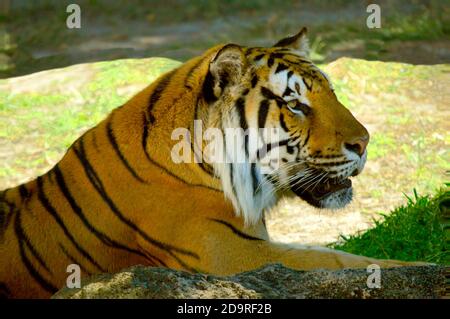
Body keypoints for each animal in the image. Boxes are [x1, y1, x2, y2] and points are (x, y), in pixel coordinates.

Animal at [0, 28, 424, 300]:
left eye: (331, 94)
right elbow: (344, 261)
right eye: (295, 105)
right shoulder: (236, 256)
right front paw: (418, 265)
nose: (364, 142)